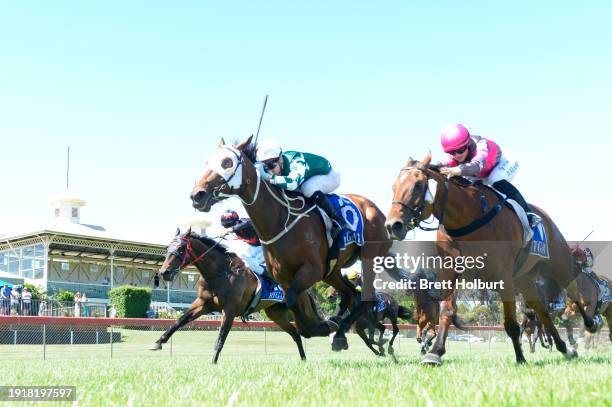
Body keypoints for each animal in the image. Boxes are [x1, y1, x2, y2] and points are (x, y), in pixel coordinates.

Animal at [151, 228, 308, 364]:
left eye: (181, 248)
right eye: (167, 248)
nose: (164, 272)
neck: (219, 274)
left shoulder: (229, 310)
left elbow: (221, 336)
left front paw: (213, 362)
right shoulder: (203, 304)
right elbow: (179, 321)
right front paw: (158, 342)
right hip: (275, 313)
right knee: (295, 333)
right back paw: (303, 359)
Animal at [190, 136, 396, 350]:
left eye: (227, 162)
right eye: (207, 162)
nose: (197, 195)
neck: (280, 221)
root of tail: (376, 210)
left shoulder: (311, 271)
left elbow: (292, 303)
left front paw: (322, 327)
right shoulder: (284, 278)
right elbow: (294, 306)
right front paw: (323, 326)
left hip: (368, 258)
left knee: (364, 299)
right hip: (331, 271)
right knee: (350, 294)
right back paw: (339, 329)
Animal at [384, 154, 596, 366]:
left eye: (418, 185)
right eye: (393, 186)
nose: (393, 225)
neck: (466, 220)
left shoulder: (503, 277)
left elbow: (511, 324)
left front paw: (520, 358)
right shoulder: (451, 271)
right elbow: (447, 311)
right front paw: (435, 352)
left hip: (559, 264)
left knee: (574, 292)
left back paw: (590, 324)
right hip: (524, 279)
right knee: (542, 310)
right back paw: (564, 348)